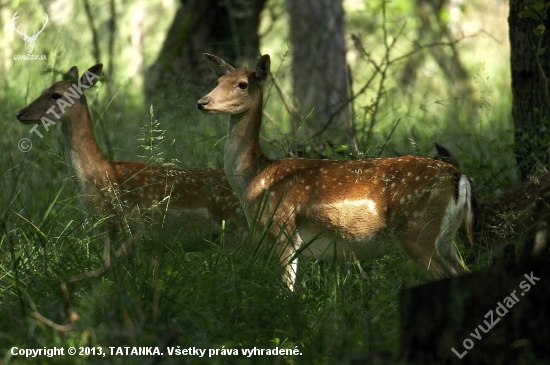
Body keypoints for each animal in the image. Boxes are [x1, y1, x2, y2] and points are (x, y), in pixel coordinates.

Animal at [16, 62, 246, 239]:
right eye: (42, 90)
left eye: (56, 95)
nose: (21, 113)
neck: (95, 172)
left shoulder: (120, 220)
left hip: (234, 225)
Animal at [199, 53, 478, 290]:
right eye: (218, 80)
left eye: (242, 84)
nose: (202, 102)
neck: (256, 179)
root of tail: (459, 176)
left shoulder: (283, 229)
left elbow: (286, 290)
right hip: (445, 238)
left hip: (418, 231)